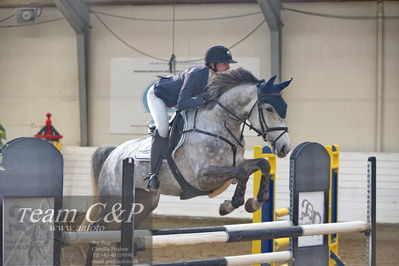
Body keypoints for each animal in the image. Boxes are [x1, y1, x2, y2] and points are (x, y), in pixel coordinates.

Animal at [91, 67, 290, 229]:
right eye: (269, 108)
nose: (285, 147)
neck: (220, 124)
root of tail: (113, 154)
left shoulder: (237, 163)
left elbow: (263, 164)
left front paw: (255, 202)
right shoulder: (202, 177)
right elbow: (241, 173)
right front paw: (230, 205)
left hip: (144, 203)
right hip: (113, 201)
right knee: (96, 228)